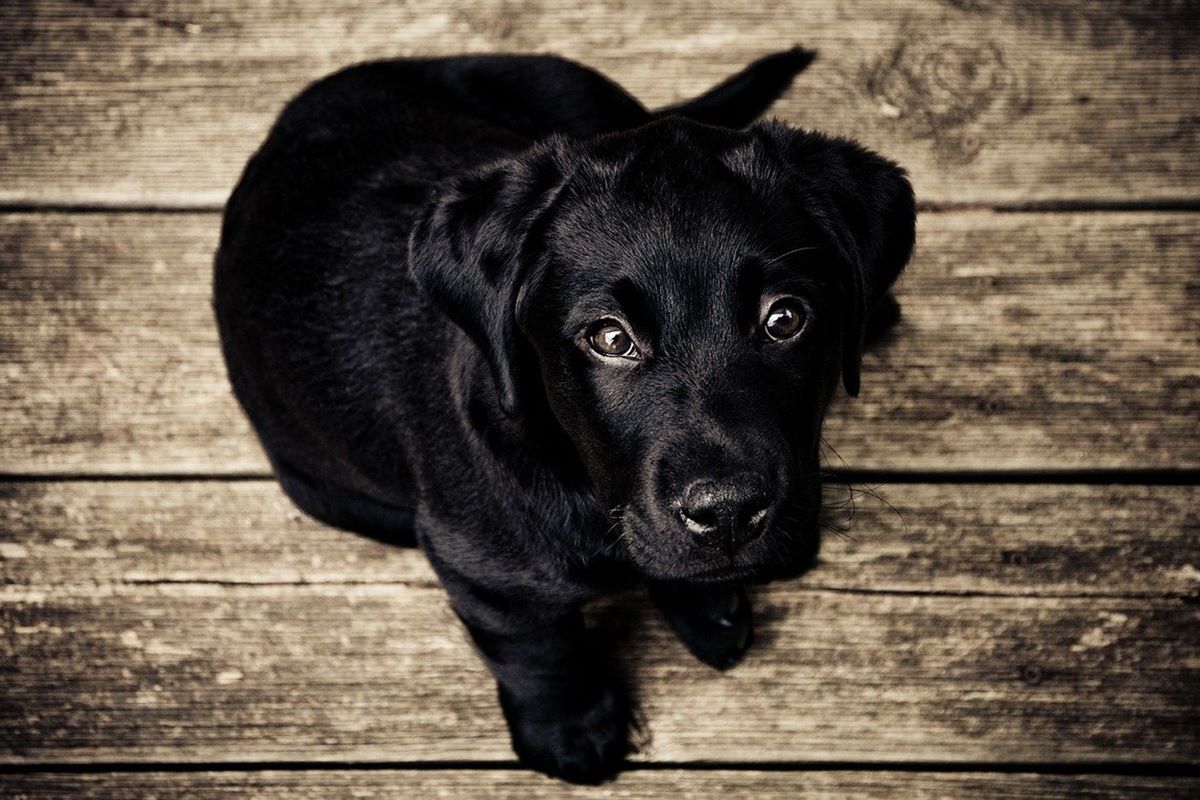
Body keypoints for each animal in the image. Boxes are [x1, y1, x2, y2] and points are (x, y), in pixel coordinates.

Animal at [213, 47, 907, 786]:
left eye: (784, 319)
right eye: (609, 338)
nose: (727, 514)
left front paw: (705, 603)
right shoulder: (480, 568)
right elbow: (537, 649)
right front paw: (571, 730)